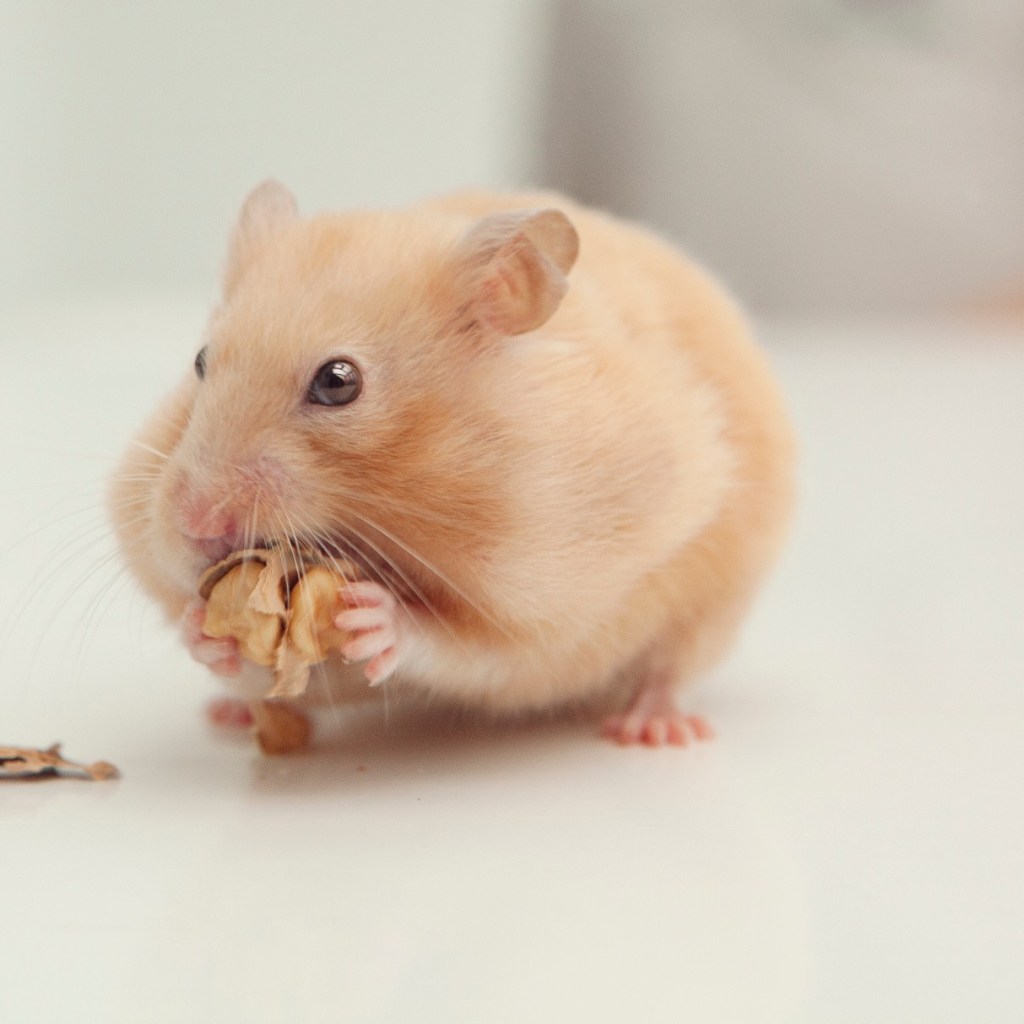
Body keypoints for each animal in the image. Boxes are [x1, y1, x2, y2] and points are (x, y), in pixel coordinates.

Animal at [109, 182, 795, 747]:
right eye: (201, 361)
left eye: (338, 381)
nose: (195, 526)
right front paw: (203, 630)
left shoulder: (556, 598)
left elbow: (468, 647)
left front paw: (378, 616)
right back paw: (225, 715)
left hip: (717, 598)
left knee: (669, 668)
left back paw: (656, 729)